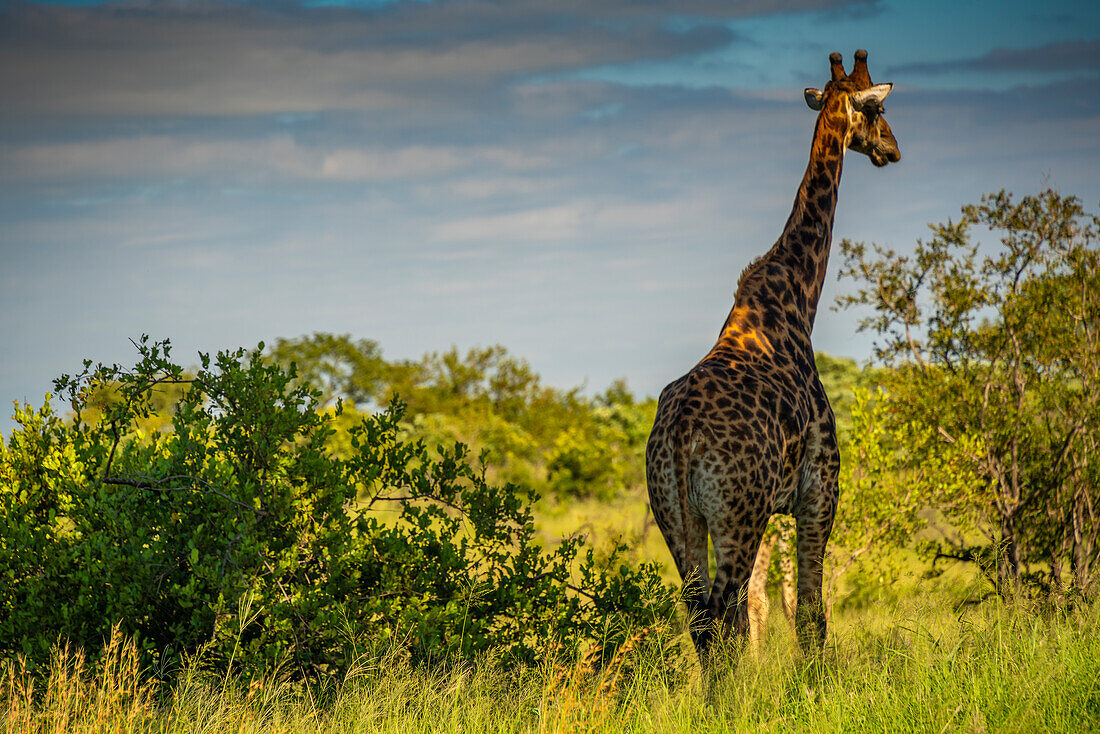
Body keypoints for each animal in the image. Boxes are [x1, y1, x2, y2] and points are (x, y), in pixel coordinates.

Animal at [646, 51, 897, 660]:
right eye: (878, 111)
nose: (893, 149)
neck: (796, 300)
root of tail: (679, 437)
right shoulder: (819, 488)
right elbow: (810, 613)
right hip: (736, 514)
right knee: (721, 614)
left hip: (678, 516)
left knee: (703, 619)